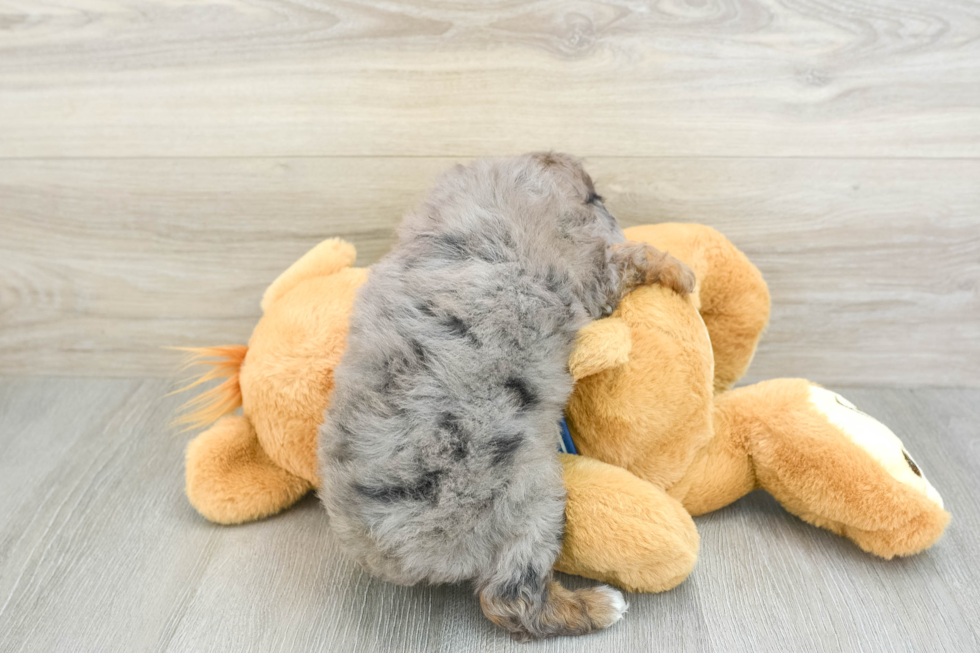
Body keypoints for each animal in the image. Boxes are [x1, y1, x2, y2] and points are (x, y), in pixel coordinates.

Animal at [318, 152, 692, 636]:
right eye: (596, 198)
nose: (611, 213)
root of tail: (384, 546)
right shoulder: (592, 275)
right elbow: (631, 257)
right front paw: (680, 271)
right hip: (531, 501)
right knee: (511, 599)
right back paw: (598, 606)